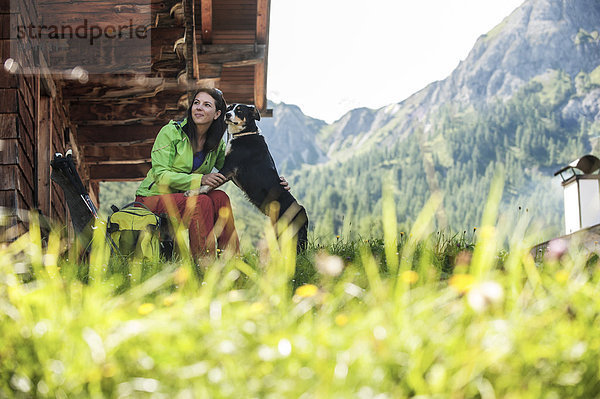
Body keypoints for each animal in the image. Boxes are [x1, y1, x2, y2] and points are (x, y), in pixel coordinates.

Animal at [186, 104, 310, 252]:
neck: (244, 134)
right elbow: (212, 184)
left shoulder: (229, 167)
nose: (227, 115)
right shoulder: (229, 173)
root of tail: (303, 213)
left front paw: (193, 192)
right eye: (229, 108)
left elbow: (208, 184)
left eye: (239, 110)